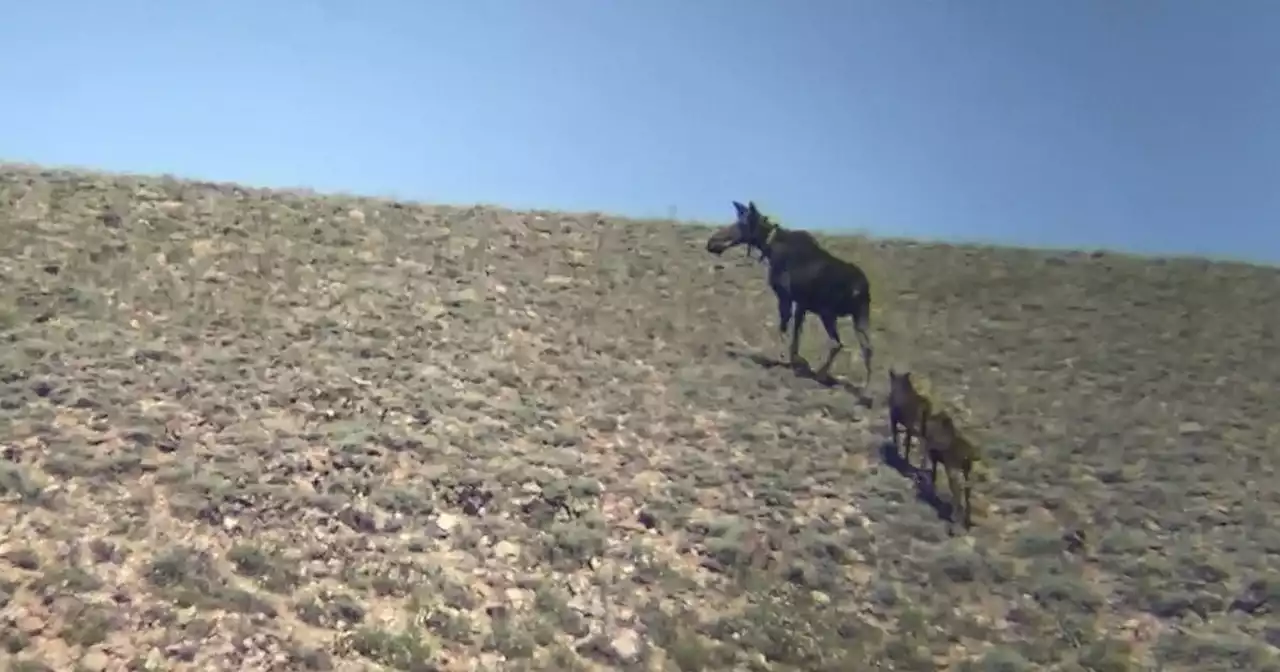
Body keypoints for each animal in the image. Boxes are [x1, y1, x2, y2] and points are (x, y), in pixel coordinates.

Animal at [706, 199, 875, 386]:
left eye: (740, 223)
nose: (711, 242)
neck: (769, 247)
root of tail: (860, 288)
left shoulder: (785, 296)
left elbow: (783, 329)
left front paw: (781, 358)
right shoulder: (801, 304)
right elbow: (795, 336)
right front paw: (795, 360)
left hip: (828, 312)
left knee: (837, 343)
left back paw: (821, 375)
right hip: (860, 316)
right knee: (867, 348)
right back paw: (865, 387)